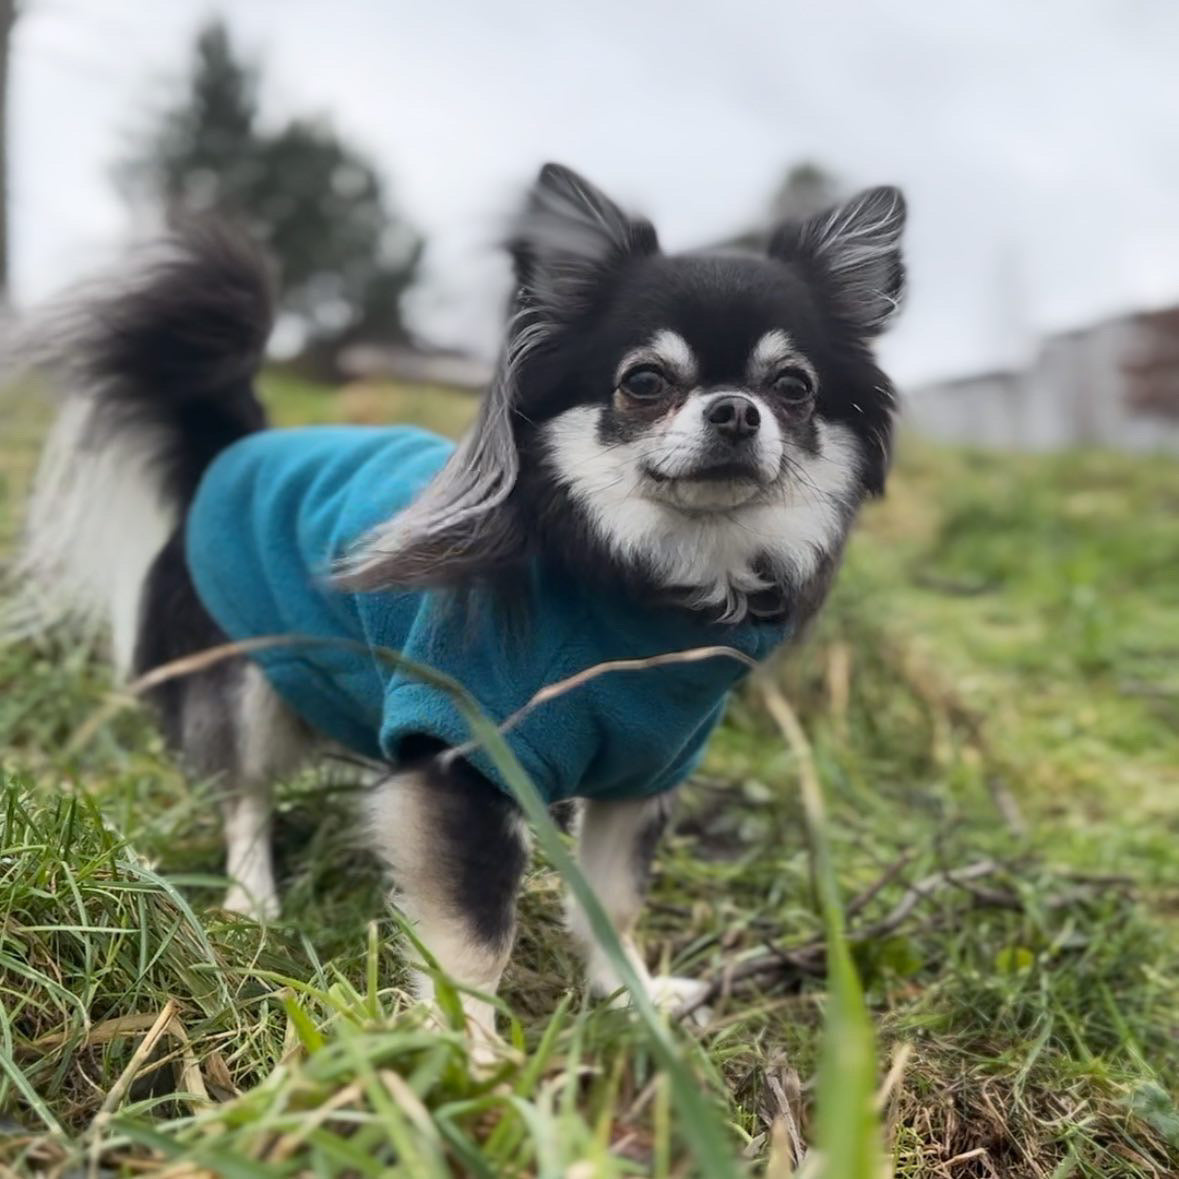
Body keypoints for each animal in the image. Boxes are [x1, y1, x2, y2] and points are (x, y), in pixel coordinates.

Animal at [4, 163, 905, 1042]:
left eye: (792, 388)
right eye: (644, 383)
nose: (735, 410)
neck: (647, 584)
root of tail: (235, 446)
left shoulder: (641, 779)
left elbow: (613, 905)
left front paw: (633, 1002)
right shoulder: (465, 759)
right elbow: (473, 934)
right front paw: (472, 1057)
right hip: (246, 677)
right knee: (242, 793)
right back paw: (252, 900)